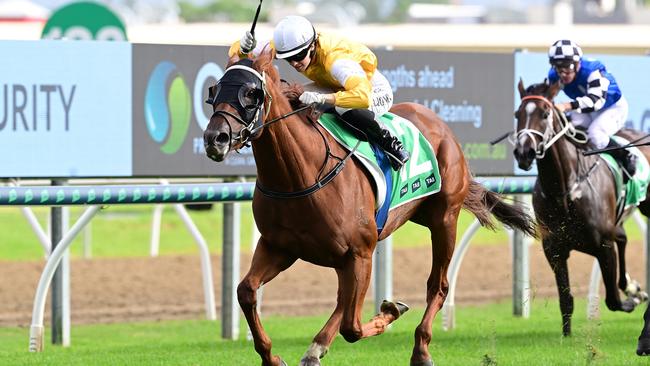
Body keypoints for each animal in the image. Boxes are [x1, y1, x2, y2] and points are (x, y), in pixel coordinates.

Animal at [205, 50, 536, 366]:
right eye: (215, 90)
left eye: (251, 93)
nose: (215, 138)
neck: (300, 175)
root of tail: (438, 123)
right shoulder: (280, 246)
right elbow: (246, 291)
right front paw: (272, 357)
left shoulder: (360, 252)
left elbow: (352, 327)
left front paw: (390, 311)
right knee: (343, 299)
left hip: (444, 219)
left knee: (437, 285)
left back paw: (421, 350)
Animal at [512, 79, 648, 338]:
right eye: (518, 114)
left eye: (545, 114)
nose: (523, 152)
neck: (565, 189)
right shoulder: (554, 249)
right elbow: (566, 300)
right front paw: (566, 336)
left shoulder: (603, 245)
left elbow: (613, 300)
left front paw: (633, 299)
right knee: (623, 237)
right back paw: (631, 286)